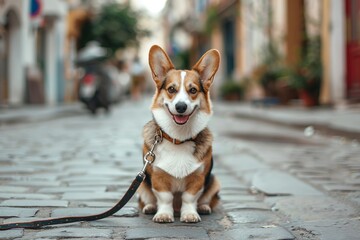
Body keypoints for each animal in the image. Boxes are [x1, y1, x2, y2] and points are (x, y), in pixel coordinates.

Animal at [139, 45, 221, 223]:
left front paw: (189, 214)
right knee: (146, 200)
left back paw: (204, 207)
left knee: (208, 199)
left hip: (214, 181)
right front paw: (164, 214)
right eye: (171, 89)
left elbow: (189, 198)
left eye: (193, 90)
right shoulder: (158, 177)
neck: (179, 138)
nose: (181, 107)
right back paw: (150, 207)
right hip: (141, 184)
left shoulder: (198, 178)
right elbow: (165, 198)